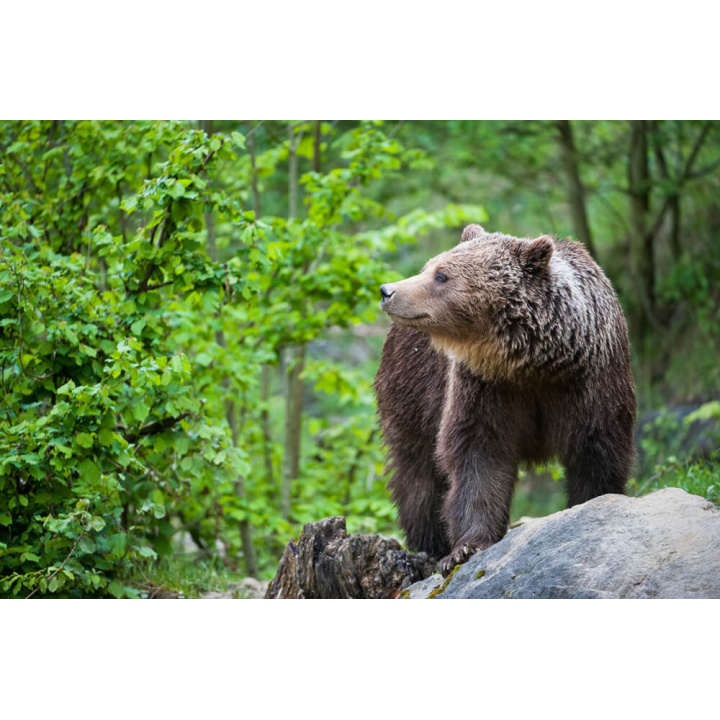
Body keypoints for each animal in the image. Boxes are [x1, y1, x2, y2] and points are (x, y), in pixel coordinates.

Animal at [374, 224, 640, 572]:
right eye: (429, 267)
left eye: (441, 275)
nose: (387, 290)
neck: (536, 364)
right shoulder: (485, 386)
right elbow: (479, 455)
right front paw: (466, 548)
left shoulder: (592, 381)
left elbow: (596, 450)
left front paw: (591, 505)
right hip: (411, 393)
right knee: (418, 474)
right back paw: (429, 544)